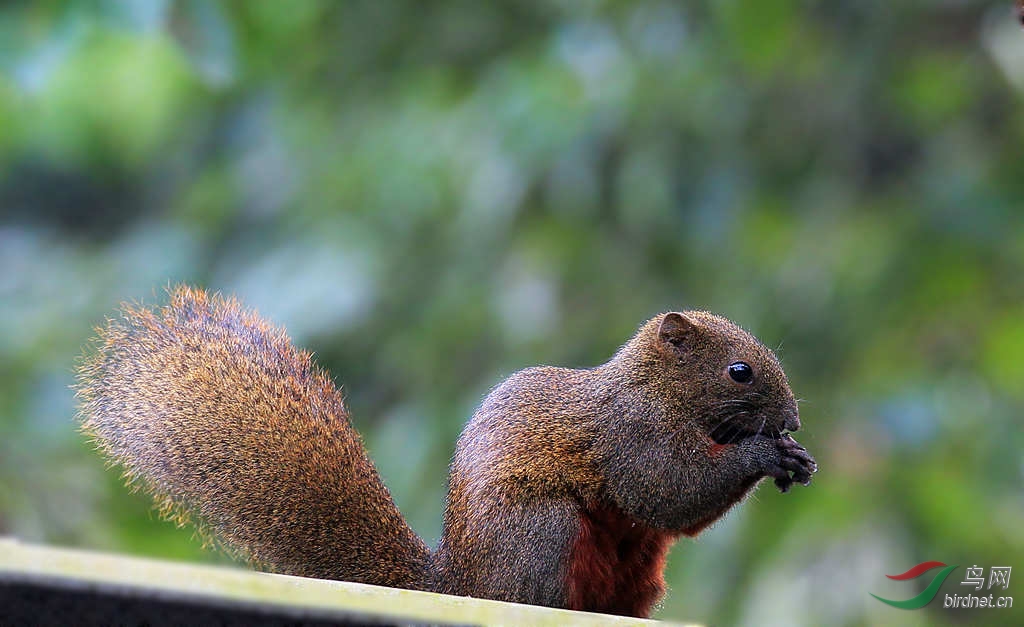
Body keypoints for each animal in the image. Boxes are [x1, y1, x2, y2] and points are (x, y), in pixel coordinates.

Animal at [75, 284, 819, 618]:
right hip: (544, 531)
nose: (793, 418)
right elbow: (664, 491)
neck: (658, 392)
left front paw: (795, 457)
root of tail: (461, 583)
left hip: (637, 574)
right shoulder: (626, 432)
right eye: (739, 372)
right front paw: (766, 455)